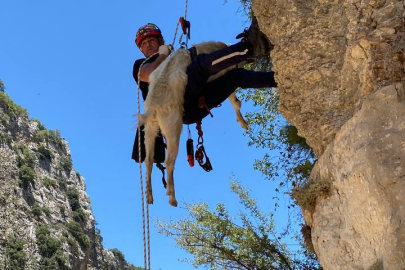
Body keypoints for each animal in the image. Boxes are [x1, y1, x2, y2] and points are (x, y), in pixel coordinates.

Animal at [138, 41, 246, 207]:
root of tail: (154, 107)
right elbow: (233, 99)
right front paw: (242, 121)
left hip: (150, 129)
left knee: (148, 160)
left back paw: (149, 196)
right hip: (173, 127)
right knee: (169, 161)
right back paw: (172, 197)